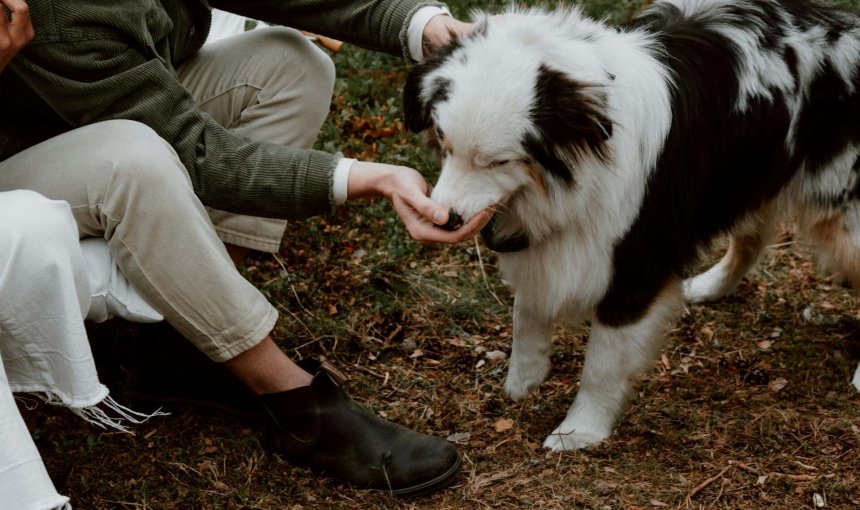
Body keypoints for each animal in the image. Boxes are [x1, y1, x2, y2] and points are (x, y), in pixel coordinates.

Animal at [404, 0, 860, 450]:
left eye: (498, 161)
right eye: (444, 143)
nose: (446, 220)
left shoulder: (637, 259)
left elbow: (602, 363)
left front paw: (580, 430)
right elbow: (526, 312)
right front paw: (524, 379)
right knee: (753, 237)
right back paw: (708, 286)